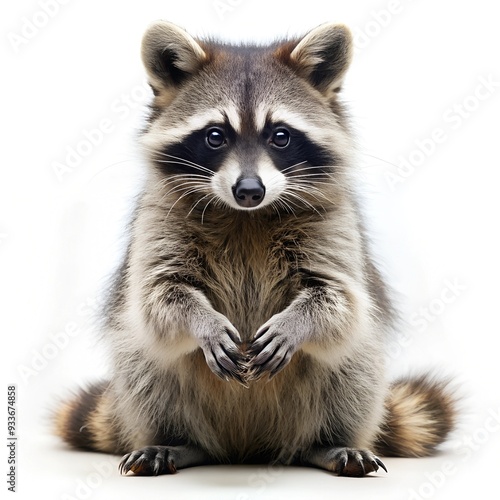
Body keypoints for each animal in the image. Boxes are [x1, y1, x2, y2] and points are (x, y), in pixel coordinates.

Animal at [55, 21, 458, 478]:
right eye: (215, 136)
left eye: (280, 136)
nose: (249, 190)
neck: (246, 216)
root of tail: (245, 449)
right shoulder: (157, 218)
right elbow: (158, 295)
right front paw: (204, 323)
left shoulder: (336, 223)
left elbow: (341, 300)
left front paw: (296, 324)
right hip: (145, 380)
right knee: (146, 370)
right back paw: (176, 441)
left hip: (346, 383)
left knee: (354, 368)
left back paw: (327, 443)